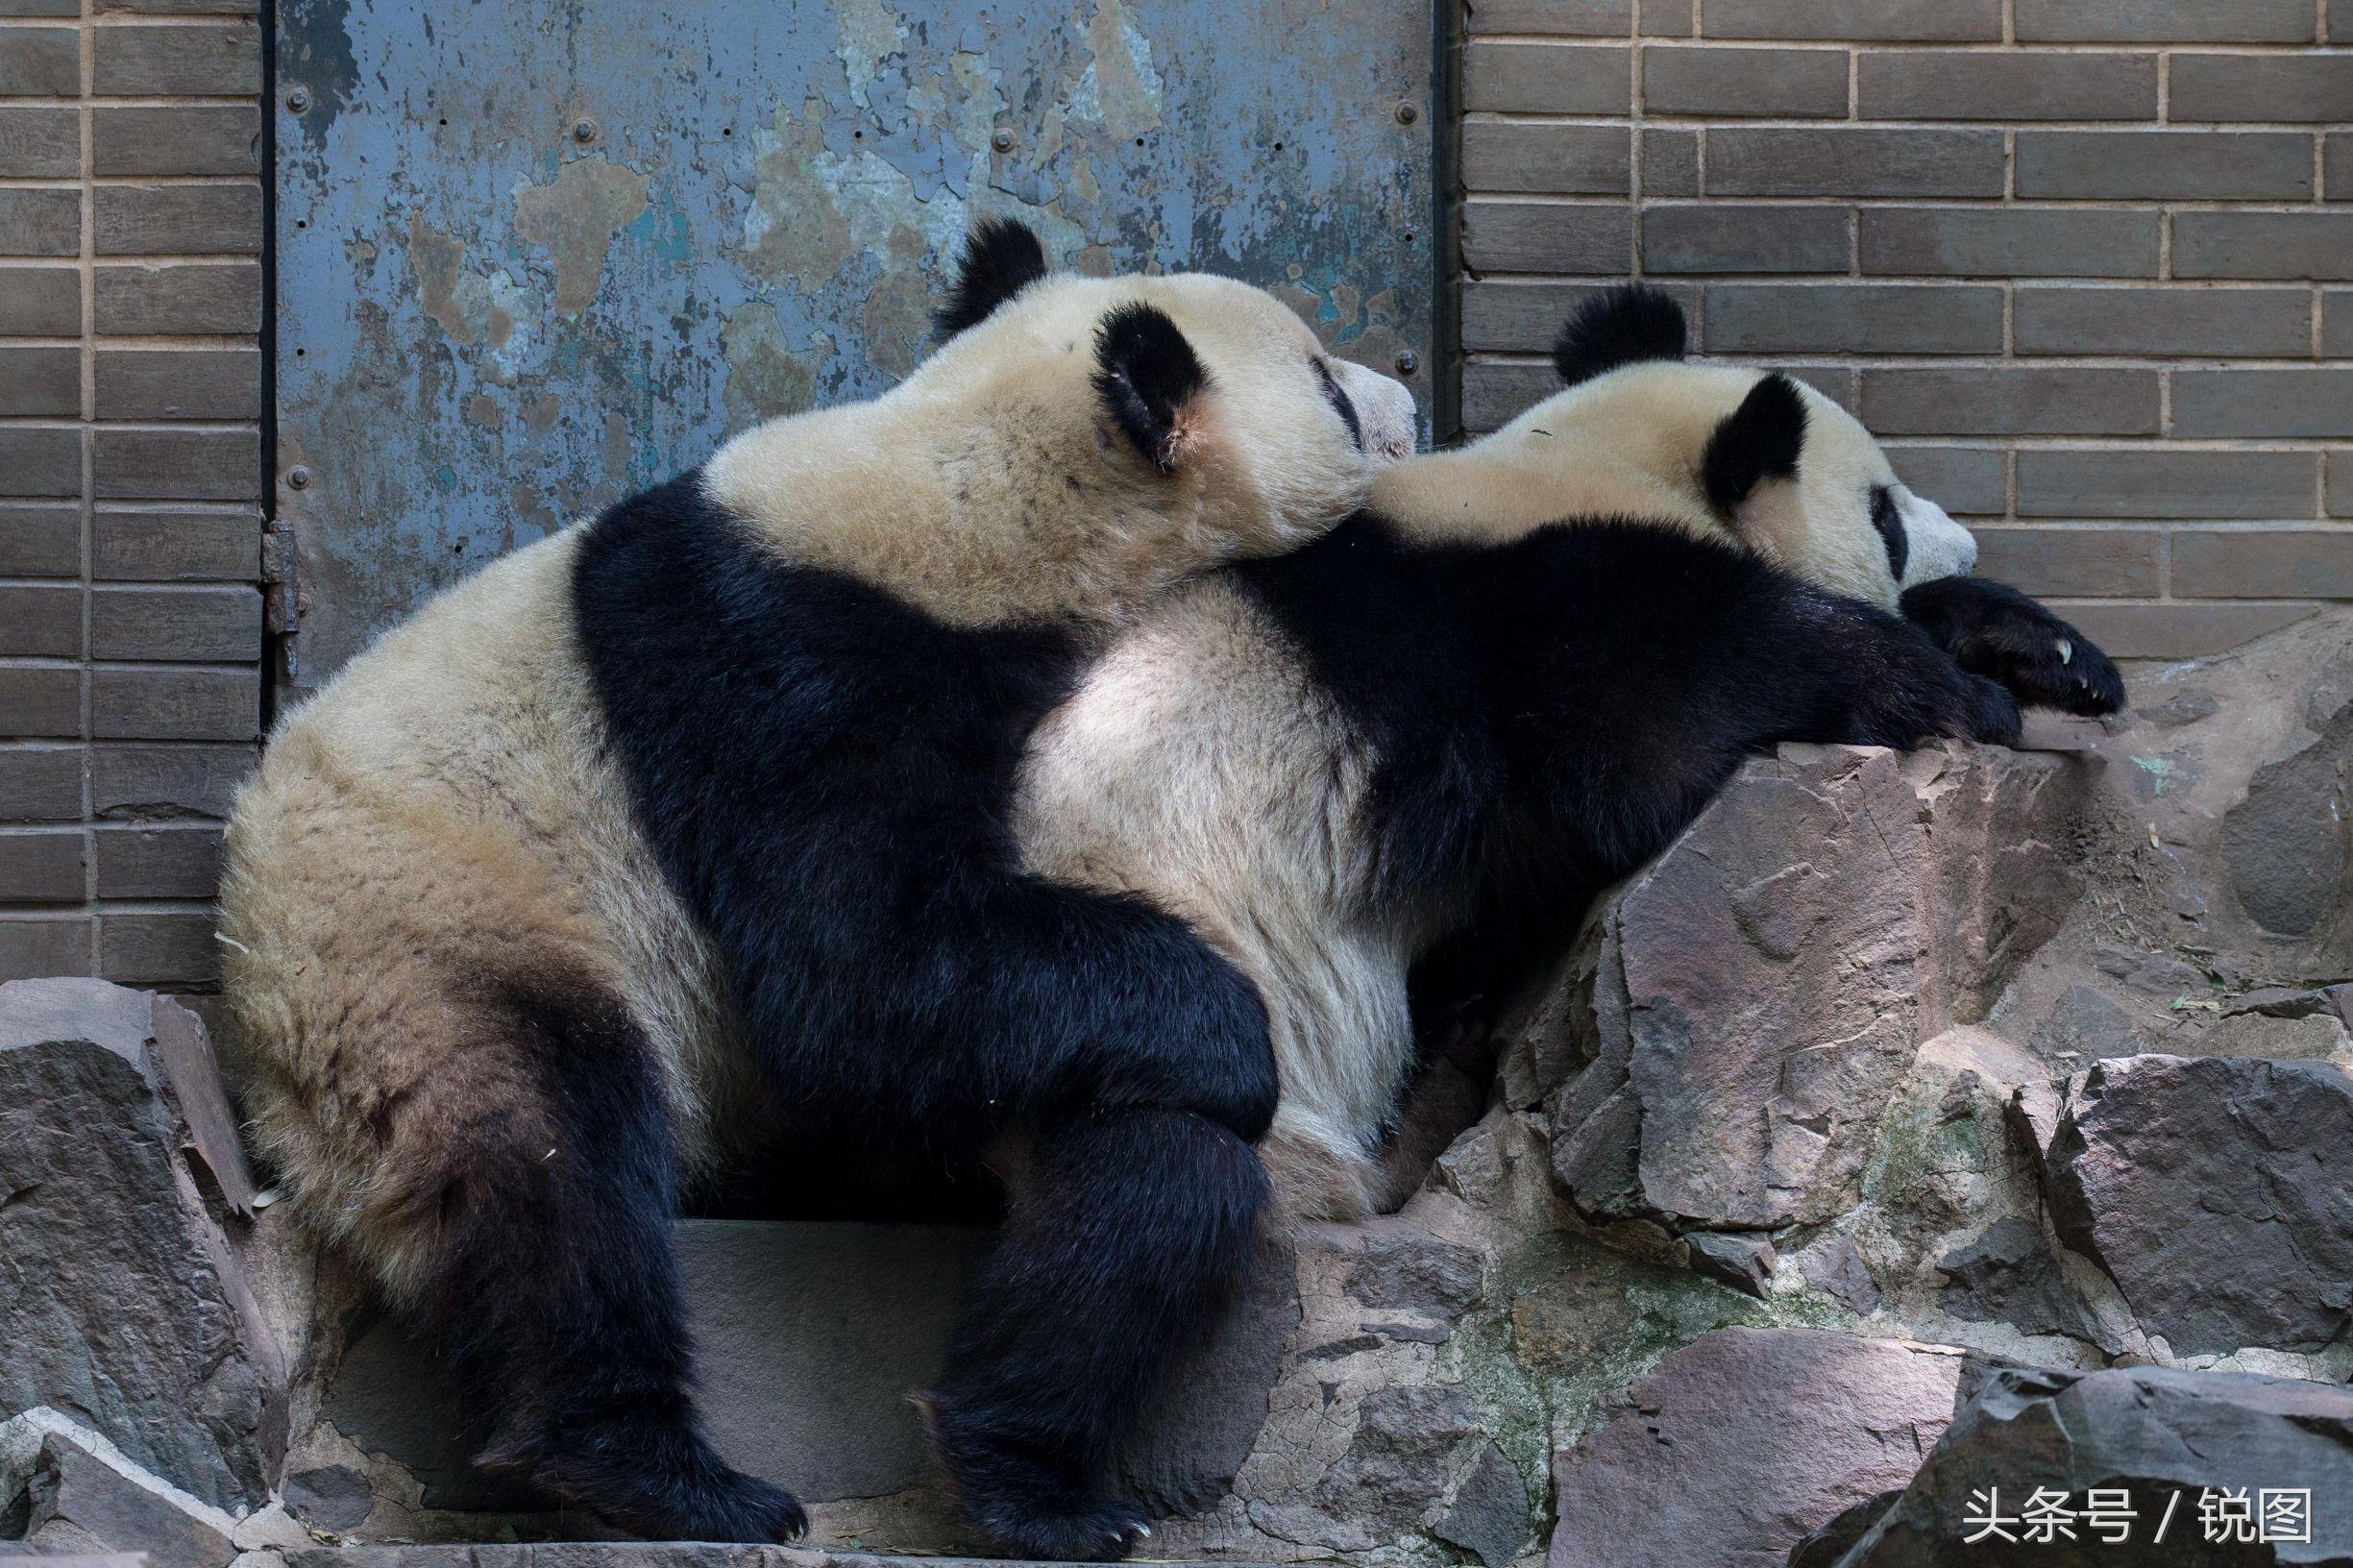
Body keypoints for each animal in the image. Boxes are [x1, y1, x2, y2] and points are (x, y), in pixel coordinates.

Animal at [221, 222, 1411, 1554]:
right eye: (1324, 383)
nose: (1408, 403)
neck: (965, 489)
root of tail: (261, 1022)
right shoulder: (799, 680)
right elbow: (857, 973)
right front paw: (1234, 1042)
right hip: (438, 931)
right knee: (548, 1164)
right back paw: (650, 1472)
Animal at [1016, 289, 2136, 1224]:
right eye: (1884, 513)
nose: (1967, 542)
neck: (1579, 465)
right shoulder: (1551, 622)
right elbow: (1650, 750)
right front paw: (1952, 692)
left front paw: (2051, 655)